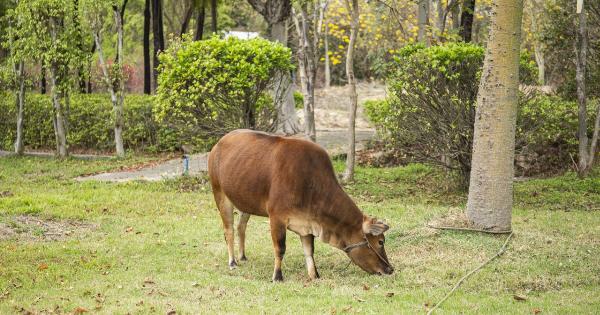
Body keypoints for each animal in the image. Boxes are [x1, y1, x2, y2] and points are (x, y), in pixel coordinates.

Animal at [206, 130, 394, 282]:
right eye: (380, 241)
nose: (390, 269)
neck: (310, 183)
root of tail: (218, 143)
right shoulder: (276, 218)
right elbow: (280, 248)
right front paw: (277, 276)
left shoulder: (308, 223)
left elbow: (309, 251)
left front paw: (314, 275)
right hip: (220, 195)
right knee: (228, 230)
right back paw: (232, 262)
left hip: (245, 201)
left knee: (241, 226)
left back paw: (243, 256)